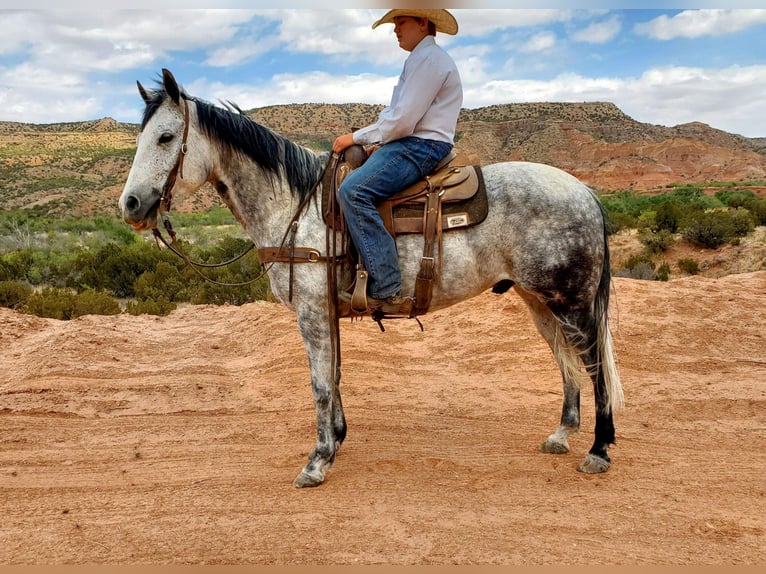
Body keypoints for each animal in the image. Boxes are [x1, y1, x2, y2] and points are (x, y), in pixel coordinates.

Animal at [118, 70, 624, 488]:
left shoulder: (312, 313)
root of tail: (585, 191)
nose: (131, 205)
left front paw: (317, 460)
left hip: (572, 302)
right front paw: (337, 441)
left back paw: (599, 449)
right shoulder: (327, 312)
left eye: (166, 137)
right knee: (565, 360)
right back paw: (562, 434)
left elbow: (320, 384)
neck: (295, 206)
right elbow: (335, 376)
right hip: (539, 300)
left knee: (595, 364)